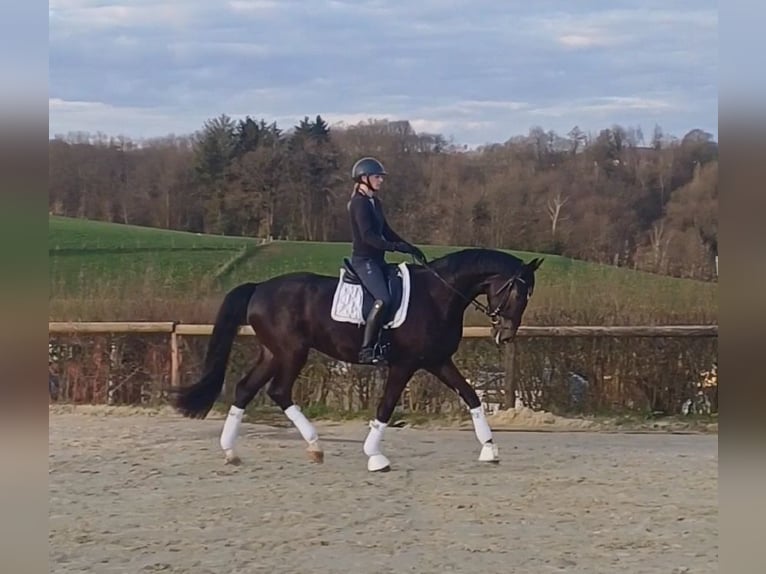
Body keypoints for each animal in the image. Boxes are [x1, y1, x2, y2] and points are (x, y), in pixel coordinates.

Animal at [174, 250, 544, 474]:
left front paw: (490, 449)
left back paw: (234, 451)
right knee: (278, 391)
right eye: (518, 292)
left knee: (246, 389)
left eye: (529, 296)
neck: (438, 295)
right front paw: (376, 456)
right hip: (291, 351)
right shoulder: (405, 364)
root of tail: (260, 287)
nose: (506, 336)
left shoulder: (437, 361)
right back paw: (312, 445)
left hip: (273, 352)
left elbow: (471, 396)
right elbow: (386, 406)